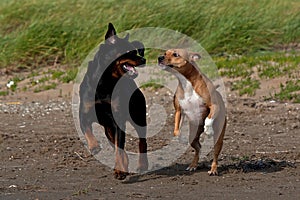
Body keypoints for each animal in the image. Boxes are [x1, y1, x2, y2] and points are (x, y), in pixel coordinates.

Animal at [79, 23, 148, 180]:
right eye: (128, 51)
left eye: (135, 51)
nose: (144, 60)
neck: (106, 82)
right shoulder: (84, 114)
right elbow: (88, 131)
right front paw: (94, 146)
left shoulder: (118, 121)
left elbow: (119, 148)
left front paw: (120, 171)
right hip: (108, 129)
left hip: (138, 116)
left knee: (141, 142)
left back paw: (141, 165)